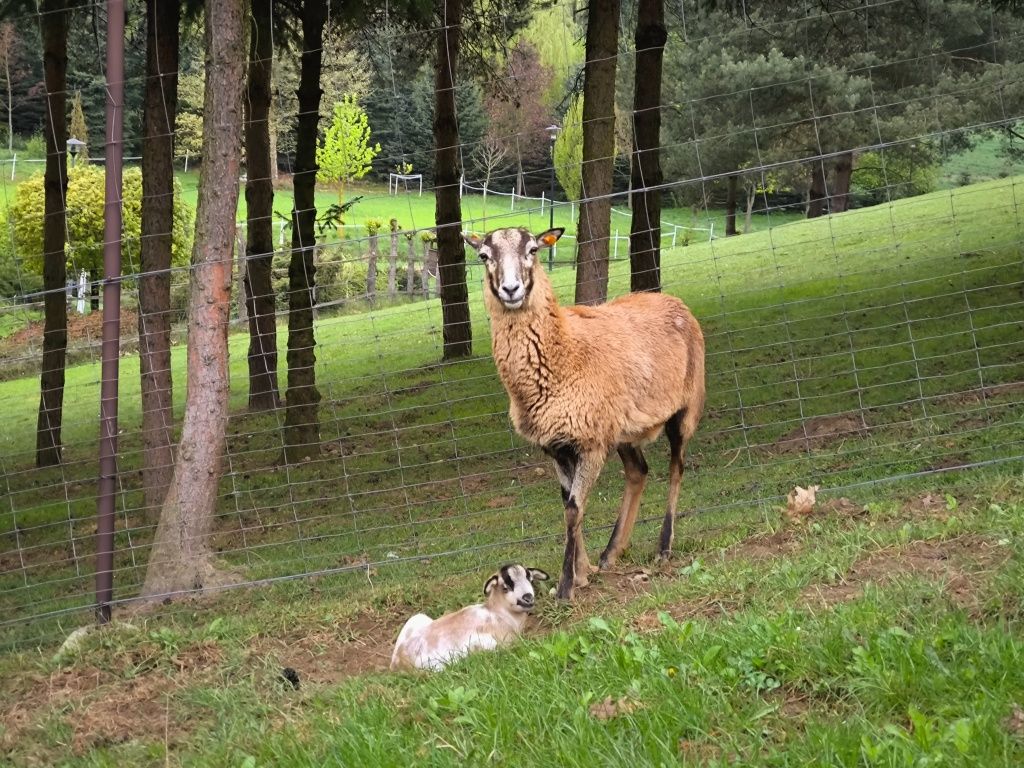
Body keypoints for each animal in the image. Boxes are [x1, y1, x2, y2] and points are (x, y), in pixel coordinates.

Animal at [389, 565, 552, 671]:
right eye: (505, 587)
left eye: (531, 580)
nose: (528, 597)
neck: (498, 613)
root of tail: (399, 660)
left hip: (417, 618)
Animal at [464, 227, 704, 602]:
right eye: (484, 256)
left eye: (533, 250)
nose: (511, 289)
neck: (562, 352)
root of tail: (673, 301)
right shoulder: (557, 446)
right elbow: (568, 504)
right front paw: (583, 573)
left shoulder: (590, 445)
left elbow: (574, 508)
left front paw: (566, 587)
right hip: (621, 430)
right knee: (638, 472)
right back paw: (611, 552)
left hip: (686, 409)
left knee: (676, 468)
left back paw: (664, 547)